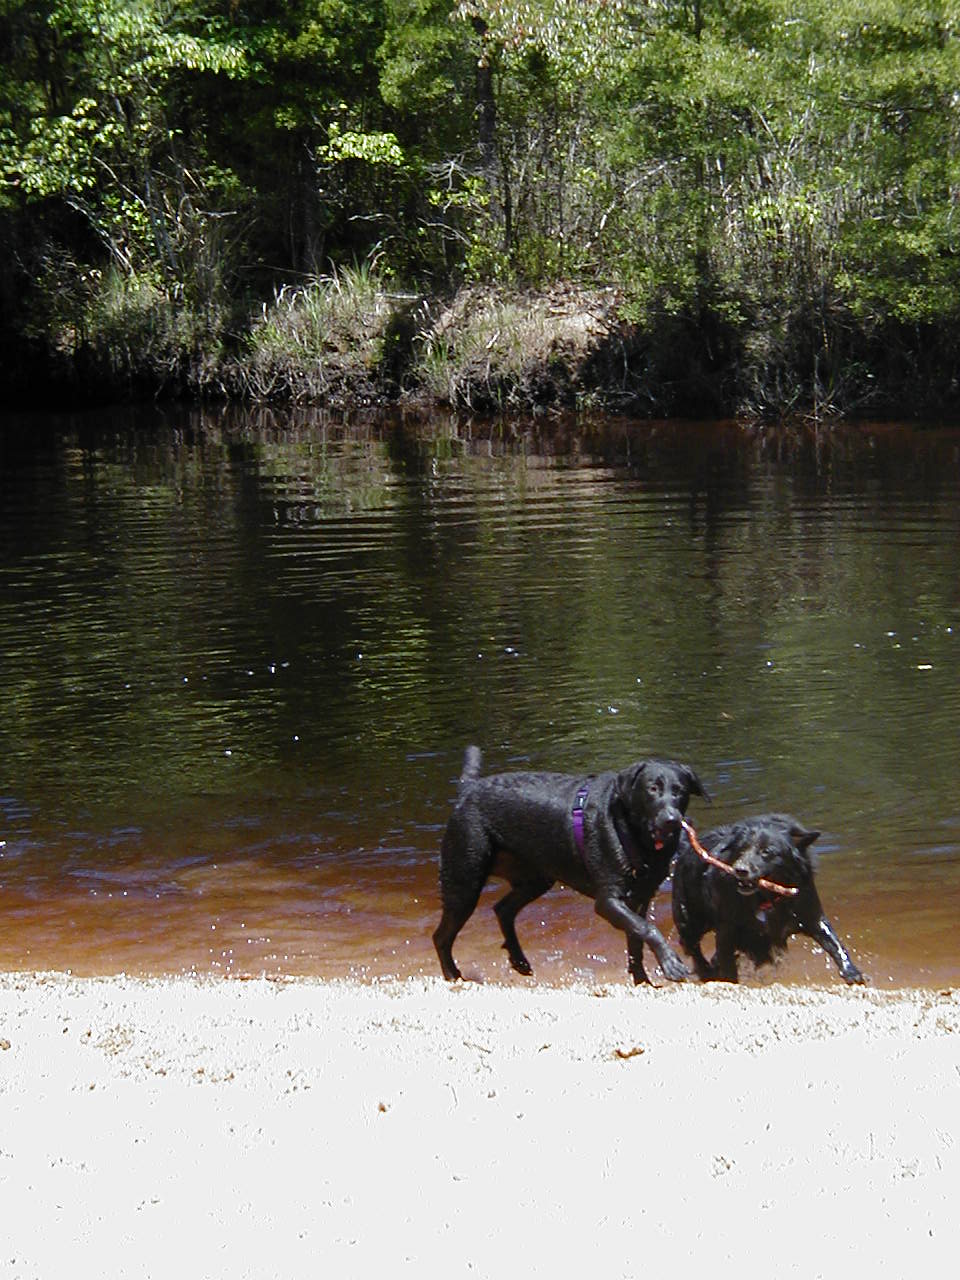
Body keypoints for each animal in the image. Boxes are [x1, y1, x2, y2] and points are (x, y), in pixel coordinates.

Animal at [433, 745, 709, 984]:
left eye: (680, 791)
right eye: (652, 788)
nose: (671, 819)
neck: (637, 837)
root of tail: (468, 790)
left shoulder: (640, 899)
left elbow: (636, 939)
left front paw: (642, 980)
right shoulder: (608, 901)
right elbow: (647, 928)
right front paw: (670, 962)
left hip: (536, 879)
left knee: (503, 909)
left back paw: (519, 960)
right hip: (465, 880)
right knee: (441, 936)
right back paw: (452, 975)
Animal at [671, 814, 865, 984]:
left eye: (766, 852)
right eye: (741, 850)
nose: (740, 870)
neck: (766, 898)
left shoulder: (810, 914)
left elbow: (833, 941)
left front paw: (851, 971)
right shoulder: (727, 929)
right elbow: (728, 965)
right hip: (689, 918)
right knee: (692, 946)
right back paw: (706, 970)